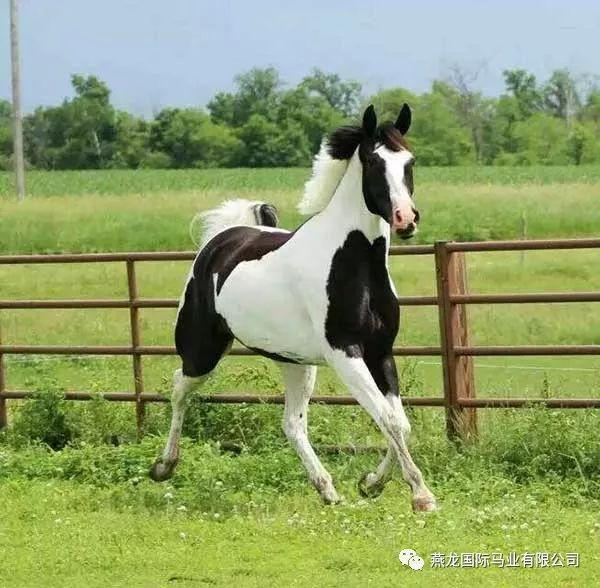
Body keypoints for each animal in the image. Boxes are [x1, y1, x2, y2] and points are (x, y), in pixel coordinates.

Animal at [149, 103, 436, 512]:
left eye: (409, 162)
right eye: (372, 161)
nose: (405, 219)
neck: (354, 263)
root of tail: (220, 240)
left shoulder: (381, 352)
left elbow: (399, 422)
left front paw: (370, 483)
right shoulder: (346, 353)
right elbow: (389, 419)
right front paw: (421, 495)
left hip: (294, 362)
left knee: (292, 422)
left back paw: (327, 489)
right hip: (203, 348)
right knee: (179, 388)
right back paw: (163, 466)